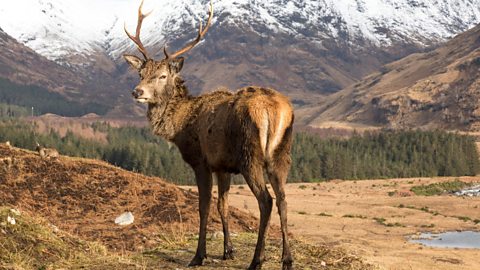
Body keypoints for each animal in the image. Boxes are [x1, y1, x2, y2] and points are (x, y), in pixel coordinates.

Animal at [123, 1, 296, 268]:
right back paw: (286, 259)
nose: (137, 91)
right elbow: (222, 205)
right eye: (140, 74)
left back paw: (257, 259)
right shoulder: (223, 166)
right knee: (283, 200)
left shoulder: (201, 161)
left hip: (250, 156)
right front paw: (228, 250)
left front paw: (198, 255)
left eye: (163, 76)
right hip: (281, 154)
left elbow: (203, 207)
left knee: (266, 200)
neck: (180, 125)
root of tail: (275, 110)